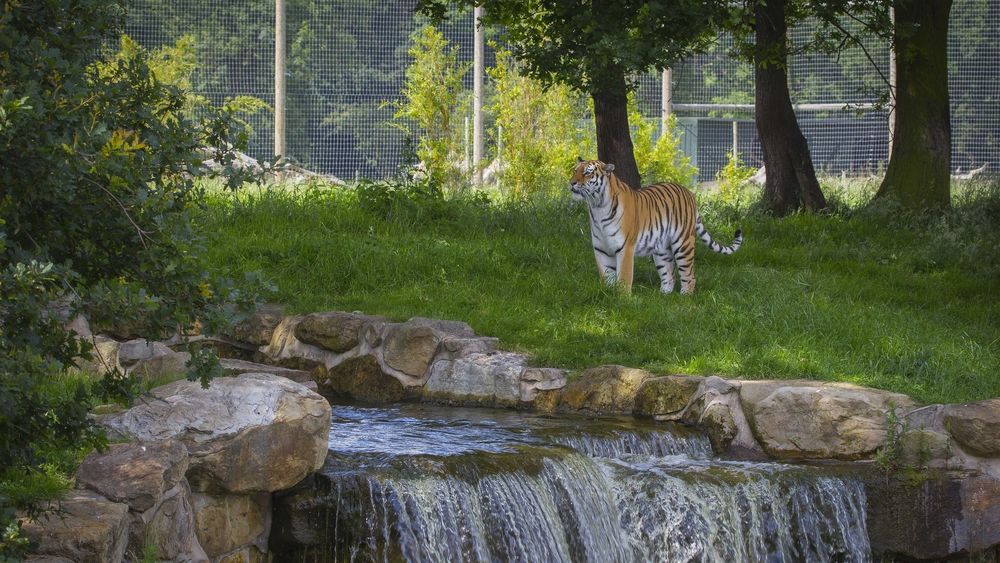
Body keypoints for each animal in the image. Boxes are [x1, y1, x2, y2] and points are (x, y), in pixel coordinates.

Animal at [569, 158, 742, 295]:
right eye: (575, 171)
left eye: (587, 173)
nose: (571, 183)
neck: (597, 206)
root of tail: (689, 192)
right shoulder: (601, 249)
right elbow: (606, 275)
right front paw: (608, 294)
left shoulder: (625, 247)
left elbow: (624, 276)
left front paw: (622, 299)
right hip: (661, 250)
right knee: (669, 275)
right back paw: (663, 295)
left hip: (683, 243)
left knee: (689, 275)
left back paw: (685, 297)